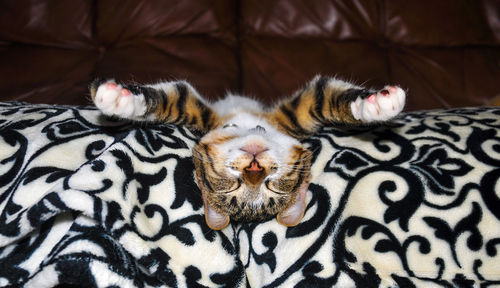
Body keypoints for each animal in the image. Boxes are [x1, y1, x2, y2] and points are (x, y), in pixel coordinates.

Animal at [90, 76, 406, 230]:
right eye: (234, 184)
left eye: (272, 186)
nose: (254, 167)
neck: (246, 125)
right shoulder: (202, 116)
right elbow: (174, 101)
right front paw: (116, 99)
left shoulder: (294, 117)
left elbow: (324, 99)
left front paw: (378, 106)